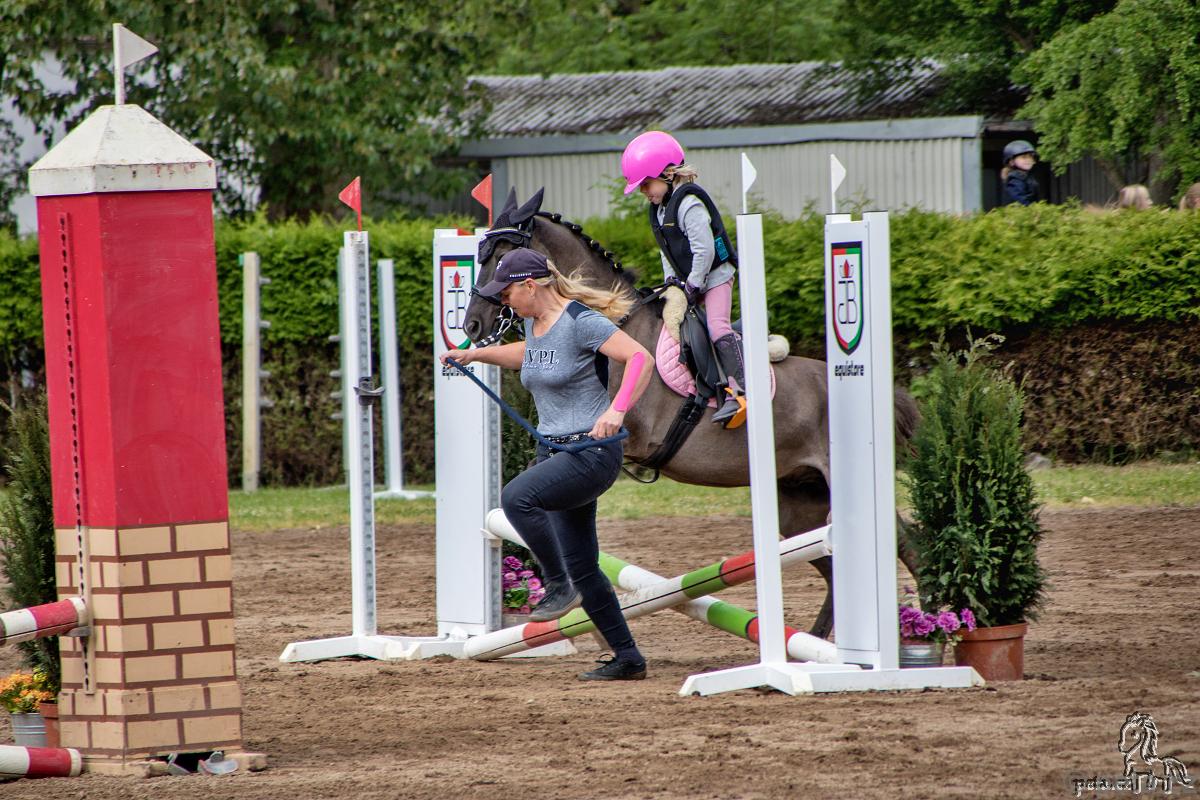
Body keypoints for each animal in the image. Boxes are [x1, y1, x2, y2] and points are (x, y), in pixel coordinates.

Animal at [462, 189, 919, 638]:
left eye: (501, 256)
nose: (471, 326)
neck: (616, 321)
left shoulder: (626, 435)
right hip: (799, 505)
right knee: (832, 566)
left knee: (904, 540)